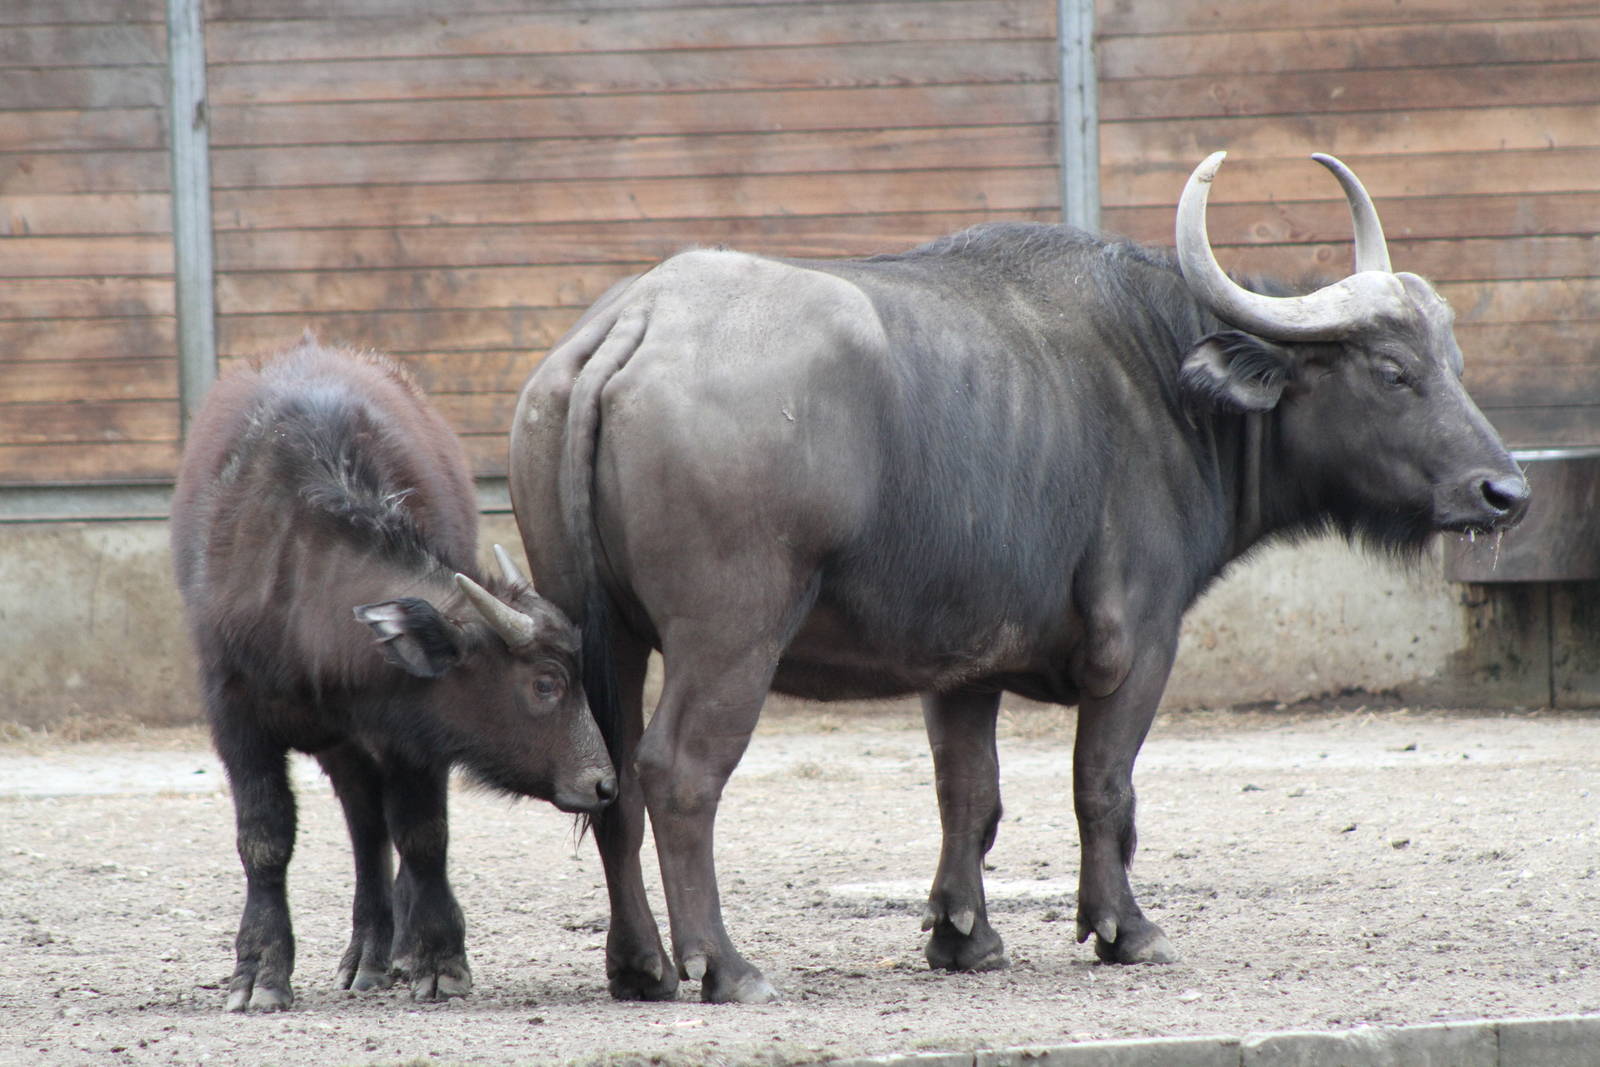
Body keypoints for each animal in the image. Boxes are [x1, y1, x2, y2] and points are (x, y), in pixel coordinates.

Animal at [172, 337, 616, 1011]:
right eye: (546, 682)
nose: (604, 784)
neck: (299, 580)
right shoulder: (236, 717)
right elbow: (264, 840)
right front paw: (259, 971)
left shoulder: (413, 732)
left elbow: (423, 835)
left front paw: (437, 958)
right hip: (341, 747)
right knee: (365, 831)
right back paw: (367, 953)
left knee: (378, 829)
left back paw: (392, 951)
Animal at [508, 153, 1528, 1003]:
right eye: (1392, 371)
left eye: (1453, 363)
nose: (1506, 490)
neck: (1162, 385)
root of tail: (632, 323)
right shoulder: (1138, 644)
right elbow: (1104, 786)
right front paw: (1124, 928)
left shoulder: (962, 667)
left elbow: (971, 792)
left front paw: (964, 935)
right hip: (731, 635)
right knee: (677, 772)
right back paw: (724, 964)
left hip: (604, 633)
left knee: (609, 779)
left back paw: (640, 964)